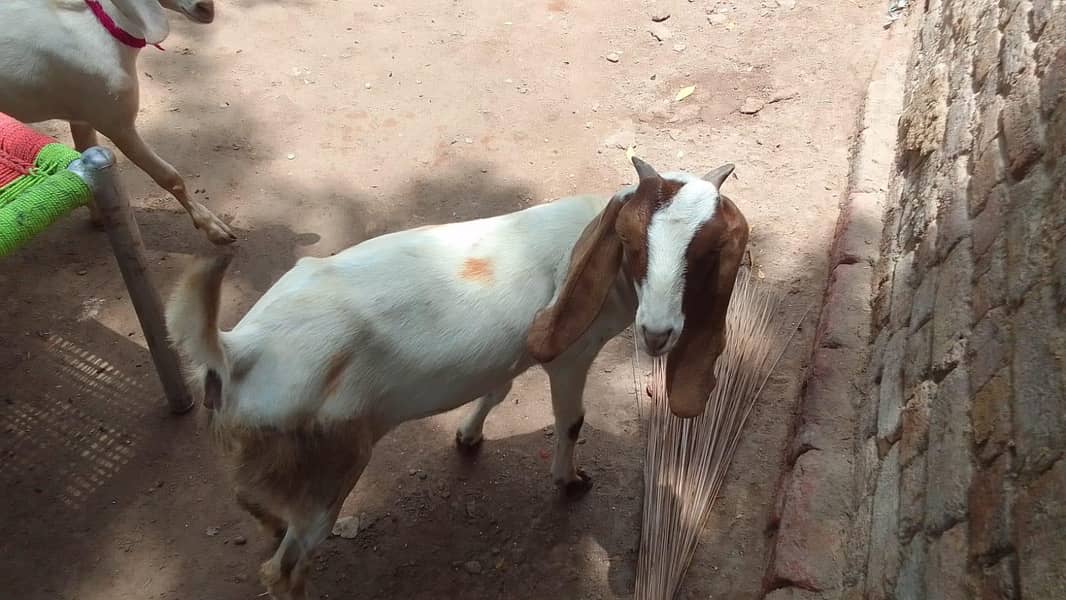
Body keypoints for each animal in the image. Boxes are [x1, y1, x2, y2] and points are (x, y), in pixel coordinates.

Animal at [0, 0, 235, 245]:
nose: (206, 8)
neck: (103, 27)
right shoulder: (117, 124)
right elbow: (169, 175)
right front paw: (214, 228)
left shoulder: (83, 119)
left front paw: (98, 217)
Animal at [165, 157, 749, 599]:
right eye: (631, 242)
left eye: (704, 252)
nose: (658, 332)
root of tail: (238, 349)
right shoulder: (572, 357)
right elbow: (572, 422)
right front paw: (569, 481)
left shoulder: (510, 354)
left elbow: (498, 387)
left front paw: (468, 436)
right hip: (331, 474)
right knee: (285, 567)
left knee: (253, 503)